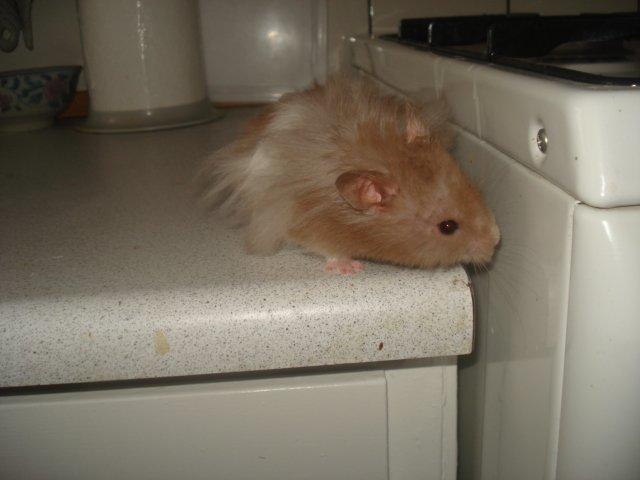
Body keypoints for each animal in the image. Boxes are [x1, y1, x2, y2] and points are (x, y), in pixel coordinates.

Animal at [199, 75, 500, 275]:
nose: (496, 241)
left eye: (472, 188)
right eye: (447, 227)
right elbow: (325, 247)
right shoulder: (307, 225)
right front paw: (350, 268)